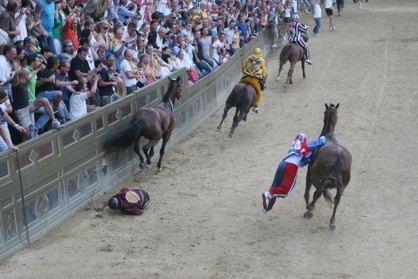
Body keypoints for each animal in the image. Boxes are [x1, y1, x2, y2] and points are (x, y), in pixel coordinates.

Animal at [304, 104, 352, 233]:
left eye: (324, 112)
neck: (328, 137)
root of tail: (339, 156)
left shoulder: (310, 173)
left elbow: (309, 192)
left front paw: (309, 207)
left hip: (316, 175)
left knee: (318, 191)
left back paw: (310, 208)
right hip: (342, 185)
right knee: (337, 199)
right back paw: (332, 222)